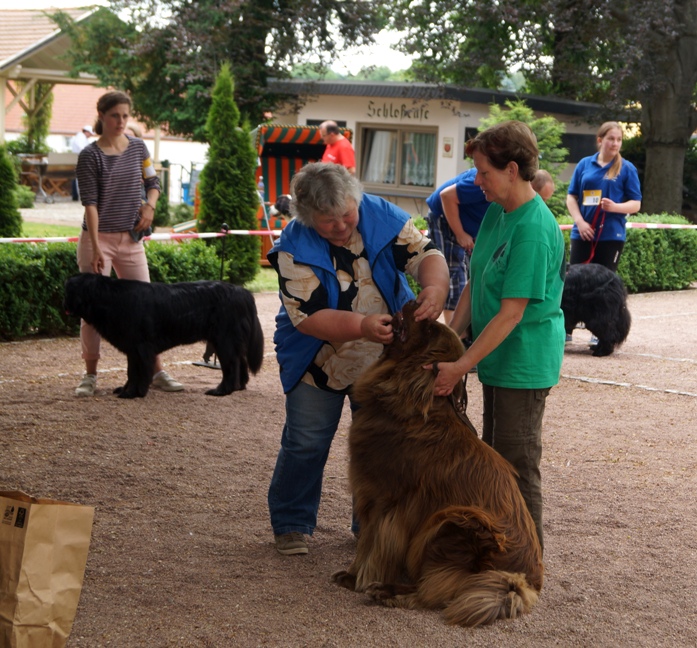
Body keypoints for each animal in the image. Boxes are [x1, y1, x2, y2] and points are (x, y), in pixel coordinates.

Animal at [64, 272, 264, 398]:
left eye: (68, 291)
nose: (63, 304)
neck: (111, 298)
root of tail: (243, 292)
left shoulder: (141, 347)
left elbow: (138, 372)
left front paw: (133, 393)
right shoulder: (132, 348)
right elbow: (131, 371)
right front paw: (126, 389)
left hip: (224, 339)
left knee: (231, 365)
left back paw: (222, 390)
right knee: (240, 361)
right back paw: (239, 387)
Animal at [332, 304, 544, 628]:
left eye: (430, 328)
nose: (415, 302)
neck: (412, 409)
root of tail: (525, 582)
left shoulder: (384, 501)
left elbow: (369, 543)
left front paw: (356, 577)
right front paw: (352, 575)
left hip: (458, 520)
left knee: (434, 590)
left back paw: (389, 592)